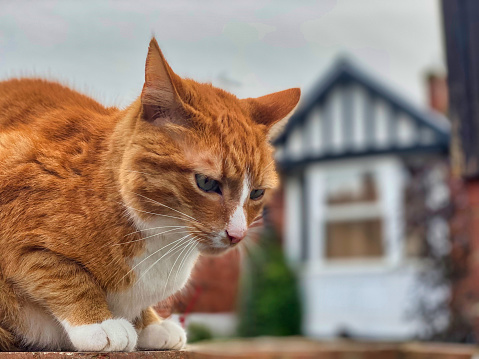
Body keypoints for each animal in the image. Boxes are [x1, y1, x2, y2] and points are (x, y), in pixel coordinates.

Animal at [0, 38, 300, 352]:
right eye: (206, 183)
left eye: (257, 192)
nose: (237, 235)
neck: (162, 239)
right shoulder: (16, 219)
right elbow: (62, 272)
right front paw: (98, 323)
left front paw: (151, 324)